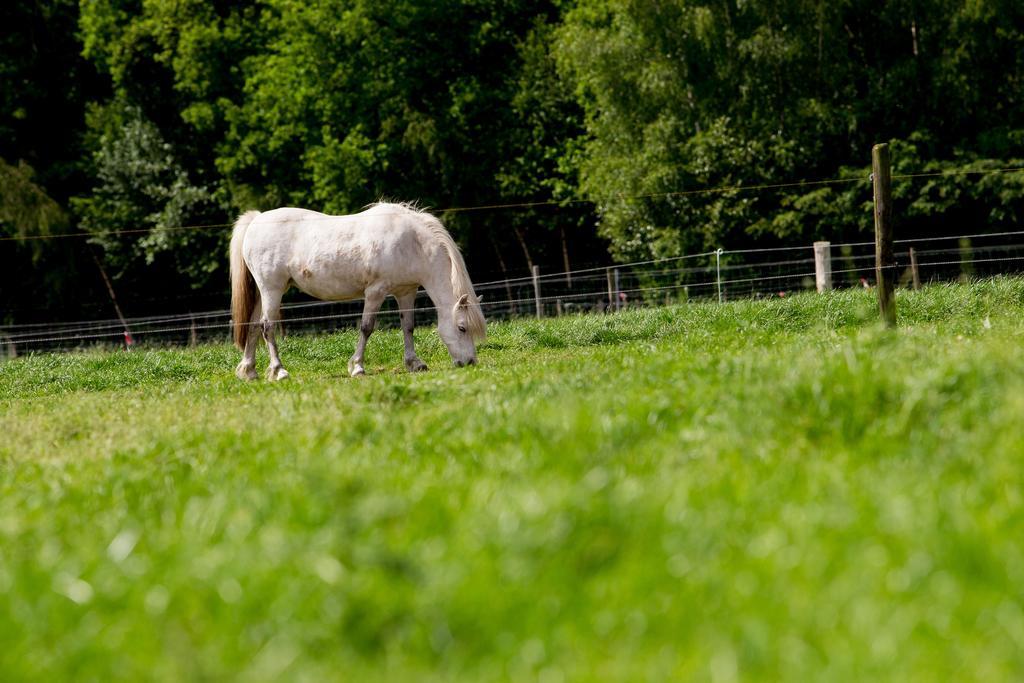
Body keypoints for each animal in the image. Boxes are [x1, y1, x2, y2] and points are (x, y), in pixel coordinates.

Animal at [230, 202, 485, 385]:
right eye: (462, 328)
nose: (470, 362)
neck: (412, 243)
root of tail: (256, 220)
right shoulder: (375, 292)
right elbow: (367, 328)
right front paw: (357, 367)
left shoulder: (406, 292)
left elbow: (408, 327)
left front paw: (414, 363)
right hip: (272, 290)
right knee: (267, 327)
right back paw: (279, 371)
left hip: (264, 293)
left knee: (253, 326)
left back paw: (249, 371)